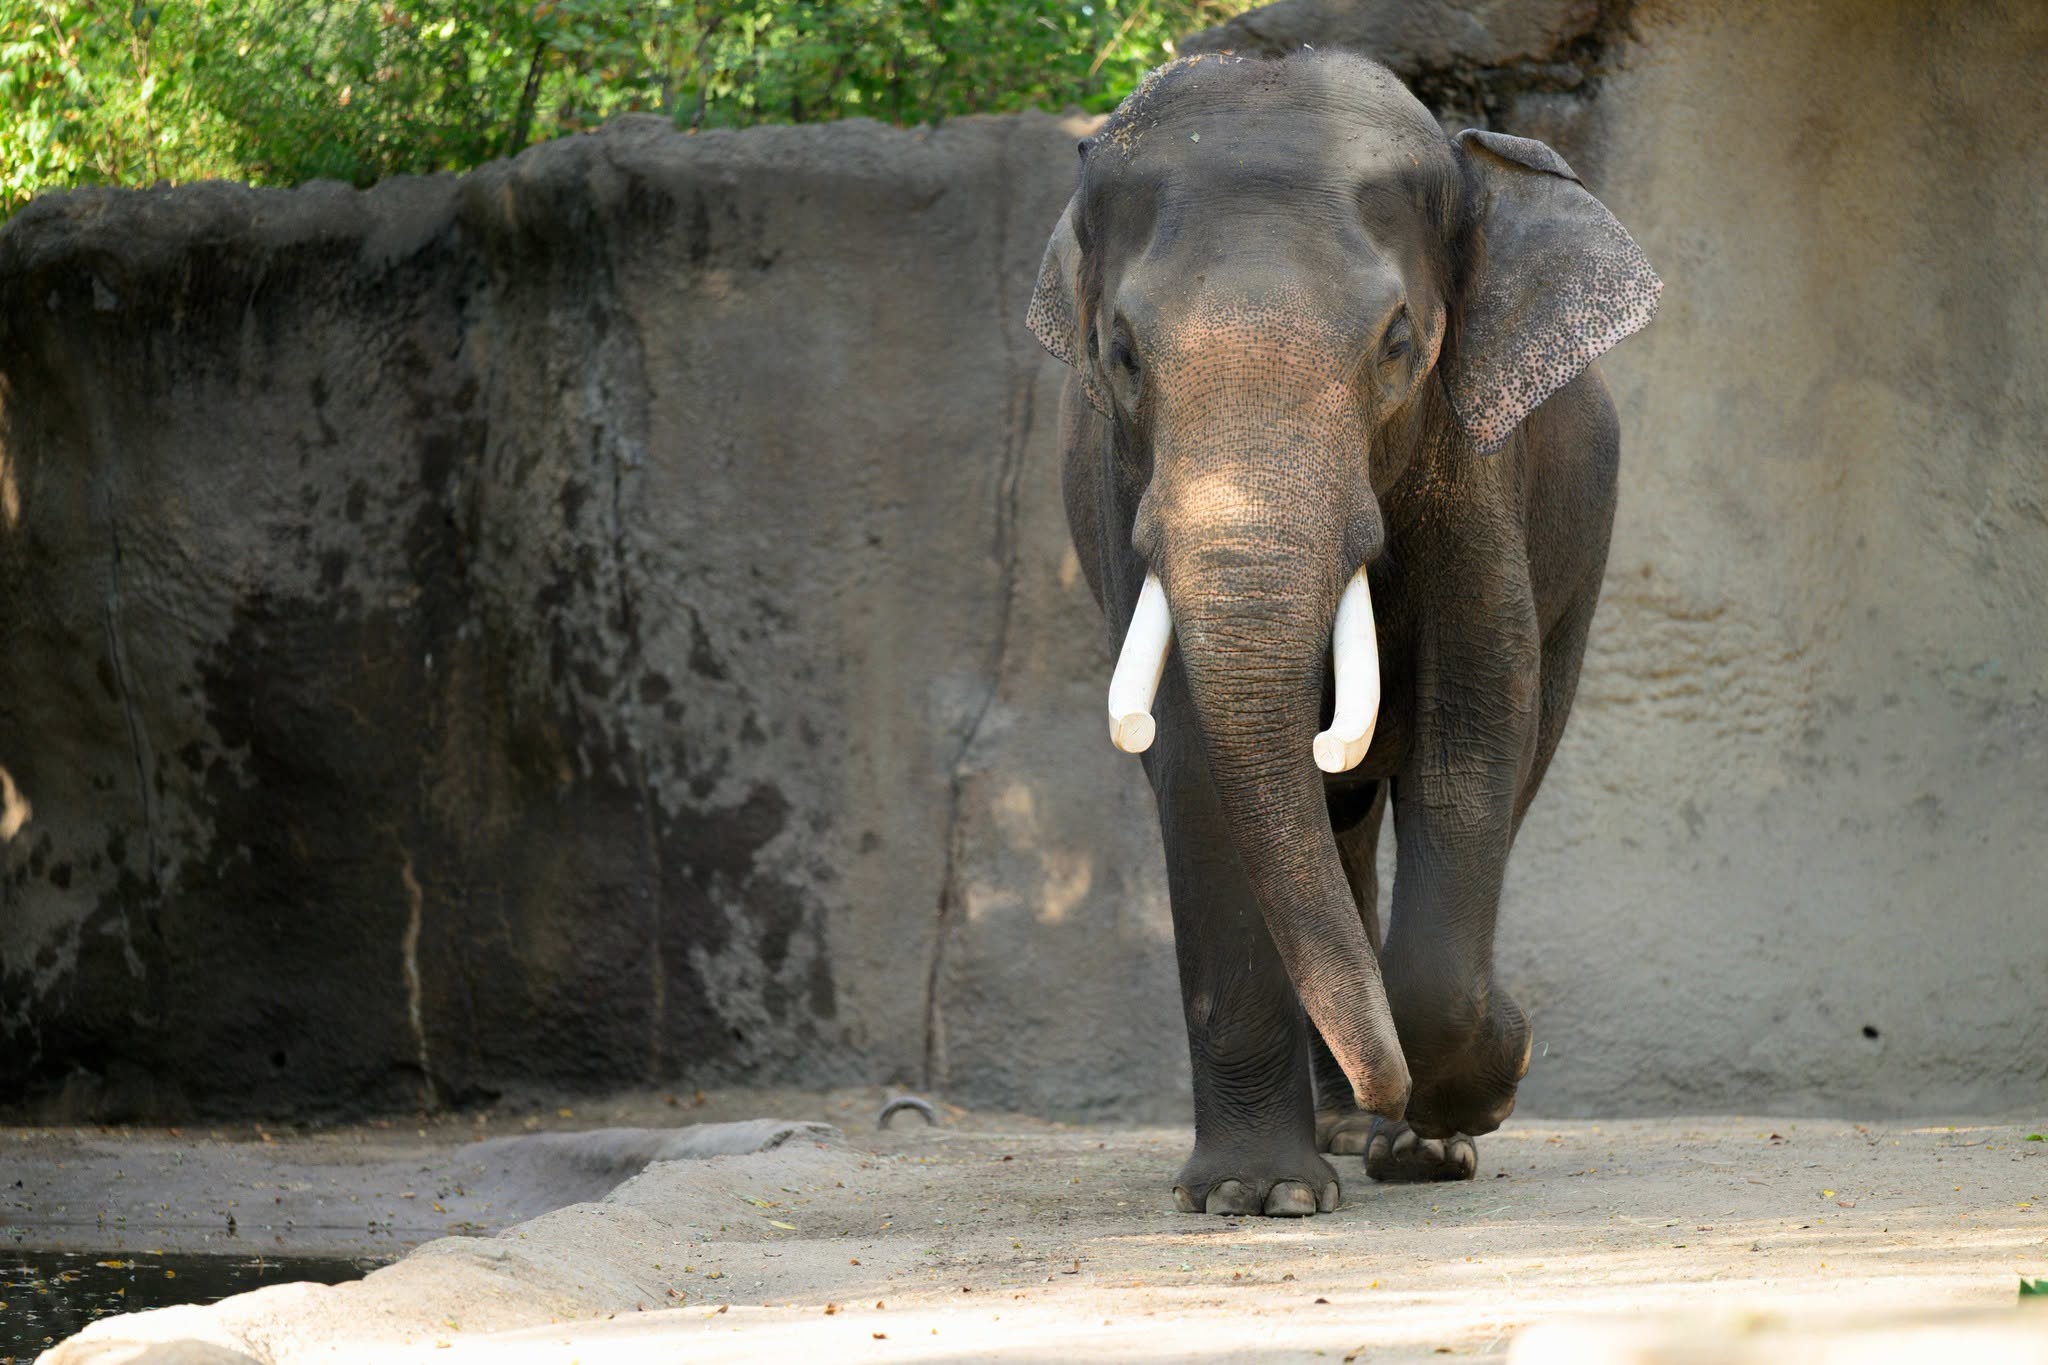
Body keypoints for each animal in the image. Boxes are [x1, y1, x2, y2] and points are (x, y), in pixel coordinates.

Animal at [1027, 51, 1659, 1216]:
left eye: (1399, 342)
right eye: (1122, 354)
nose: (1524, 1046)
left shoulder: (1474, 465)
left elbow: (1474, 721)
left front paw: (1476, 1091)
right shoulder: (1123, 486)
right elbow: (1197, 757)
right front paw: (1257, 1197)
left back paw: (1402, 1134)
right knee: (1338, 824)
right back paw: (1343, 1128)